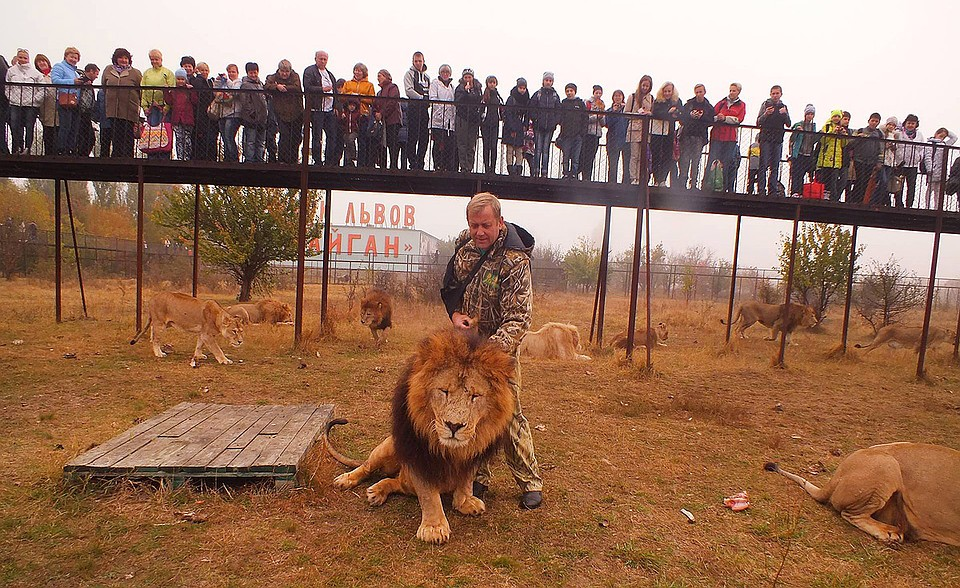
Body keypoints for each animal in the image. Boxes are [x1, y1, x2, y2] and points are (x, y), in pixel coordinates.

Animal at [324, 328, 516, 544]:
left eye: (475, 396)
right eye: (444, 391)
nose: (454, 425)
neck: (452, 449)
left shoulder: (473, 456)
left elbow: (465, 480)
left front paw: (465, 502)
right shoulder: (419, 455)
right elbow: (428, 495)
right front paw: (434, 528)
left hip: (402, 477)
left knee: (395, 482)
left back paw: (378, 491)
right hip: (389, 447)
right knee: (367, 467)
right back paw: (350, 480)